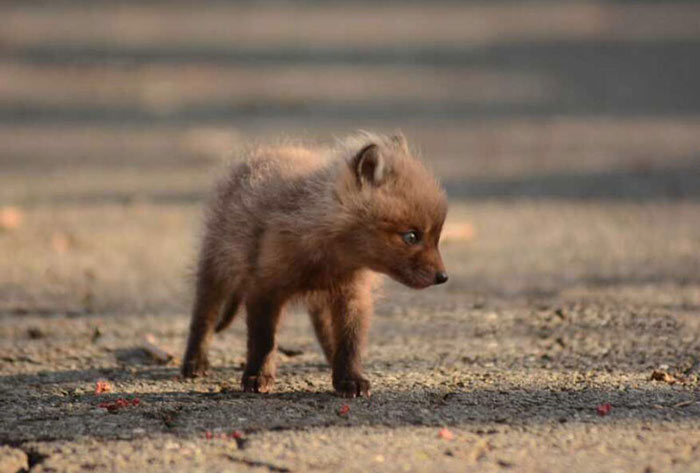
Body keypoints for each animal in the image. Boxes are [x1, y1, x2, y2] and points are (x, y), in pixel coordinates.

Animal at [181, 132, 448, 397]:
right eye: (411, 236)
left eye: (437, 237)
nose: (443, 277)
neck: (330, 257)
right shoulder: (263, 287)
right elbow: (263, 339)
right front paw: (258, 376)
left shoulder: (353, 293)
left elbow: (350, 340)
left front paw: (350, 378)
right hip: (216, 266)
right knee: (203, 316)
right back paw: (194, 363)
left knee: (326, 331)